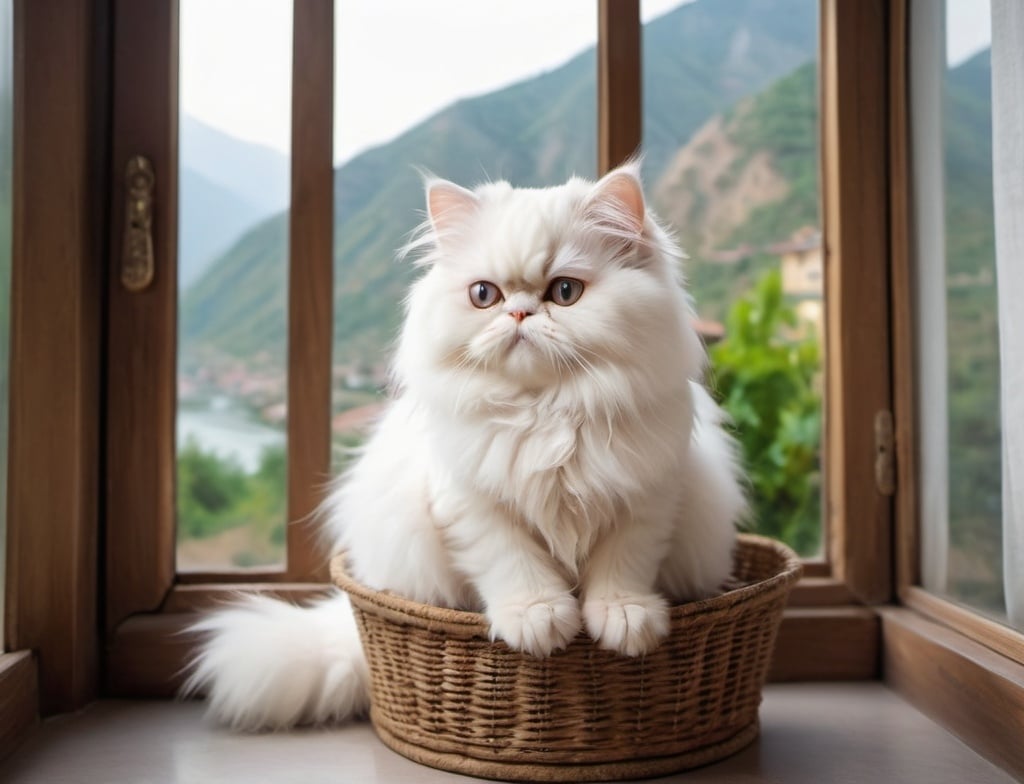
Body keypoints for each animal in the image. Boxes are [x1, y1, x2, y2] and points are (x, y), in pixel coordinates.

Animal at [184, 162, 745, 732]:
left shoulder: (646, 498)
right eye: (484, 296)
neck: (543, 412)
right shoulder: (471, 504)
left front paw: (625, 620)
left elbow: (622, 565)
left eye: (565, 291)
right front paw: (540, 619)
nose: (519, 314)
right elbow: (513, 563)